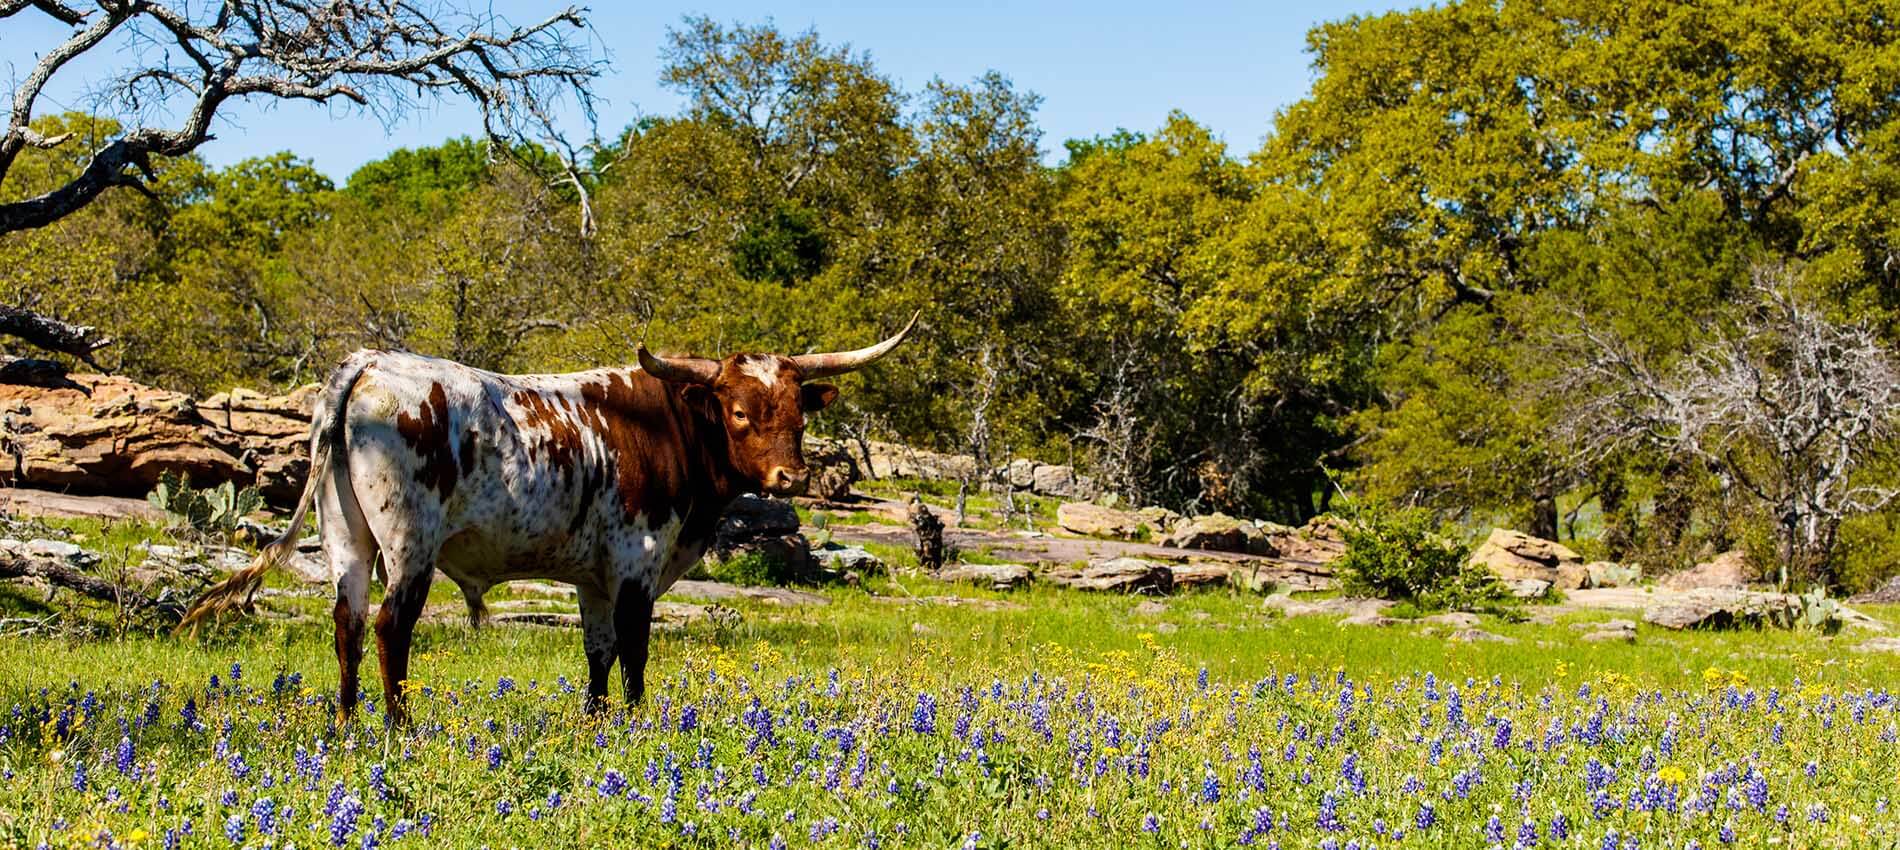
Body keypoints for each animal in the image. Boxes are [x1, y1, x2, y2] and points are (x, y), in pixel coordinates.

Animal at [181, 319, 915, 726]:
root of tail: (367, 364)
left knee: (348, 623)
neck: (665, 425)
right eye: (737, 411)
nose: (790, 478)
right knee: (392, 627)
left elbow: (598, 651)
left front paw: (595, 722)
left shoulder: (594, 578)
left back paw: (345, 724)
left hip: (346, 538)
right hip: (410, 542)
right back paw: (398, 726)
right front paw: (635, 724)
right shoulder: (637, 561)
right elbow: (635, 649)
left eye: (798, 412)